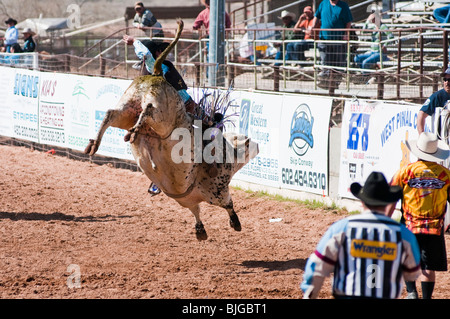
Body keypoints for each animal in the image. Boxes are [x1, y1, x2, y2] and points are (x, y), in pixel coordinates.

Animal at [84, 19, 258, 240]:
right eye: (247, 142)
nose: (257, 144)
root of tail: (157, 74)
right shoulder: (219, 190)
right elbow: (228, 204)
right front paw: (235, 223)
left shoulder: (188, 200)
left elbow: (195, 211)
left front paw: (200, 231)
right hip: (162, 120)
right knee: (149, 111)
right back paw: (134, 130)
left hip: (126, 109)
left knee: (109, 115)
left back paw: (97, 143)